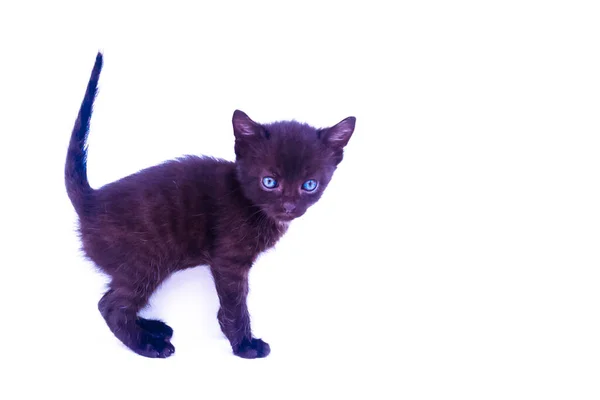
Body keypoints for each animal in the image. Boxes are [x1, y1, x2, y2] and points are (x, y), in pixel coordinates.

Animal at [65, 52, 356, 360]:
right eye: (269, 181)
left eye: (309, 185)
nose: (288, 206)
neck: (250, 204)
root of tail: (91, 200)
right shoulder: (228, 259)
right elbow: (236, 303)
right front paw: (245, 345)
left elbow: (233, 302)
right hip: (145, 261)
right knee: (111, 305)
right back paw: (149, 344)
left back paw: (154, 327)